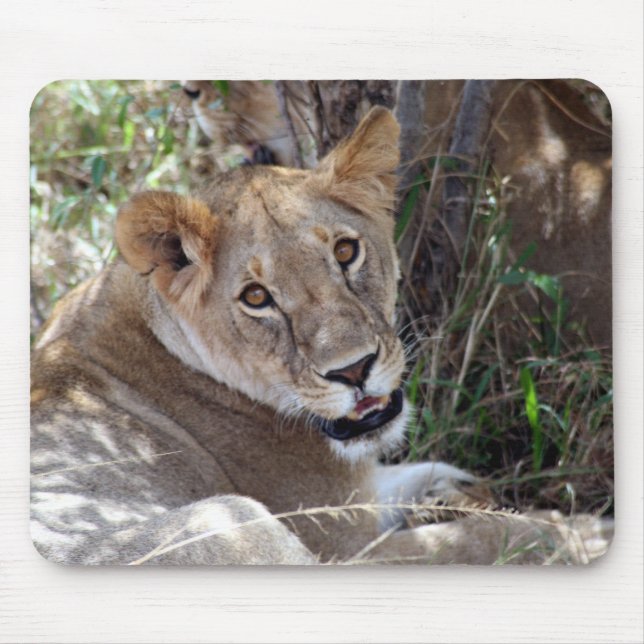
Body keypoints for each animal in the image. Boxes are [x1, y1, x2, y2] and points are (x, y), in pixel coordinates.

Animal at [30, 107, 611, 565]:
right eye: (256, 297)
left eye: (345, 251)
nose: (354, 370)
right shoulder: (343, 542)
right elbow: (494, 537)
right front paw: (586, 537)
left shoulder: (360, 492)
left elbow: (416, 475)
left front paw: (454, 487)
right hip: (228, 521)